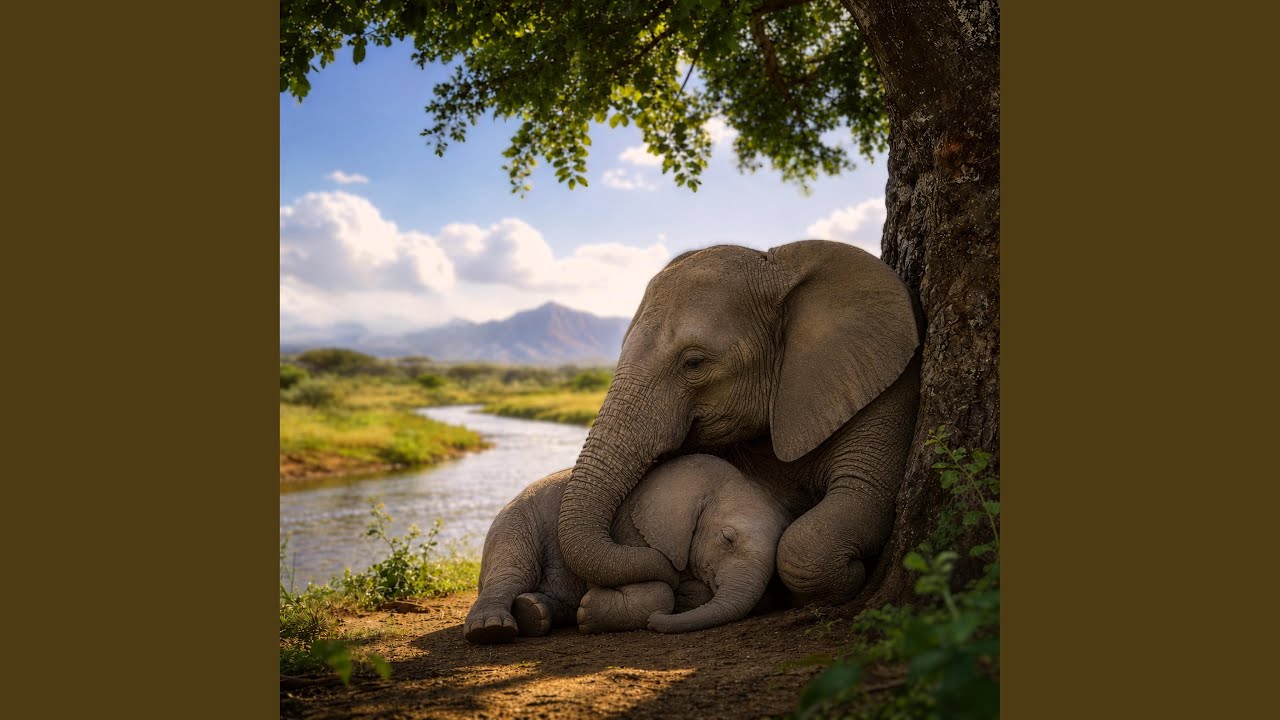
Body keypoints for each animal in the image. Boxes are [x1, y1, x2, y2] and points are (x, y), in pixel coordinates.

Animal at [463, 454, 792, 644]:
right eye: (727, 539)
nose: (655, 624)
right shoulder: (630, 526)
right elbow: (654, 589)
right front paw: (590, 608)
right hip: (514, 523)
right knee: (512, 572)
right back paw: (491, 630)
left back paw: (533, 612)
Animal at [558, 240, 922, 607]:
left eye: (694, 363)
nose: (673, 569)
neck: (781, 268)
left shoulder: (888, 384)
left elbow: (855, 499)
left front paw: (852, 575)